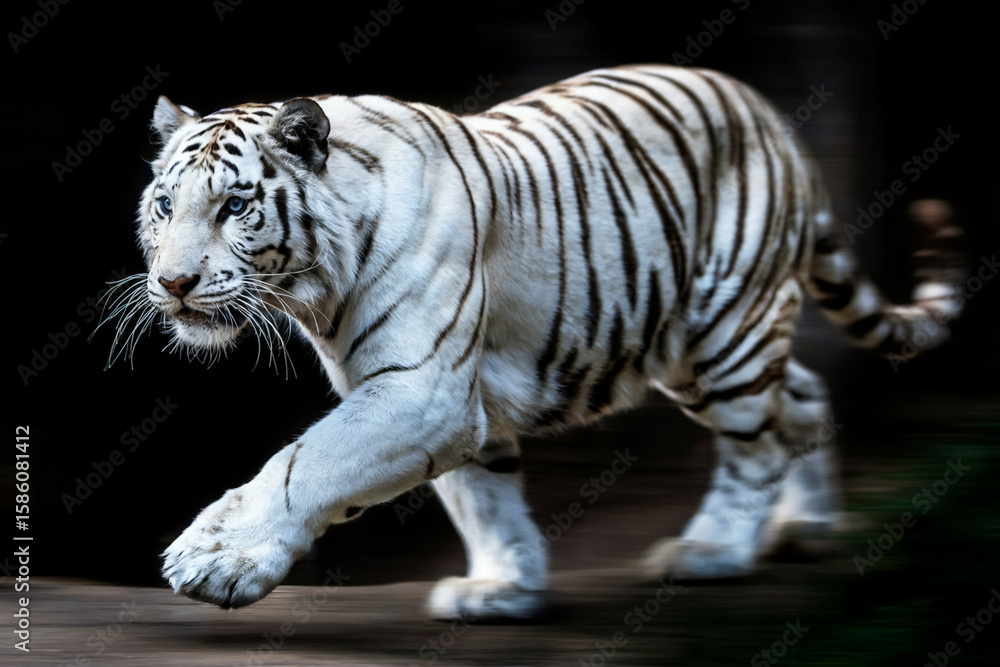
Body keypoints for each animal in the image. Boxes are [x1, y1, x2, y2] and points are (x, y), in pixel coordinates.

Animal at [108, 64, 963, 620]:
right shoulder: (449, 401)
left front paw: (215, 559)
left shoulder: (420, 391)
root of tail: (770, 115)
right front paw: (503, 587)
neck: (313, 286)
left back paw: (714, 550)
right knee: (803, 396)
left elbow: (303, 463)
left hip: (721, 333)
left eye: (234, 205)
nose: (174, 283)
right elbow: (483, 499)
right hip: (700, 349)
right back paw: (805, 528)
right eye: (164, 204)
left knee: (755, 445)